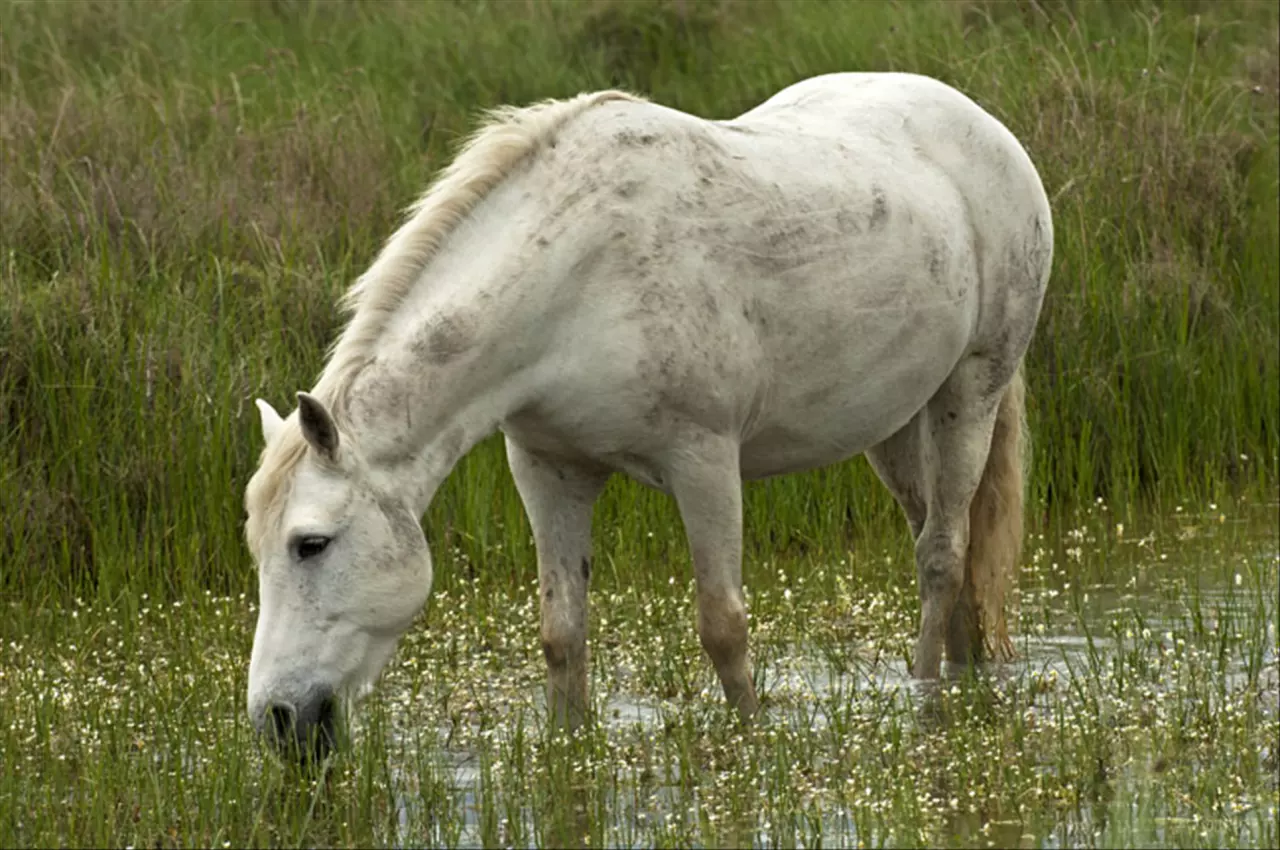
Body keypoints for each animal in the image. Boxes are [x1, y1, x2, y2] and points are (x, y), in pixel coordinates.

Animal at [241, 72, 1049, 757]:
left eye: (310, 544)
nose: (277, 719)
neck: (575, 280)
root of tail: (987, 129)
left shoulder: (704, 462)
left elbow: (723, 627)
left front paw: (752, 749)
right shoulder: (549, 469)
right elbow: (561, 633)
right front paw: (571, 753)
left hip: (969, 393)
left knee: (941, 552)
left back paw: (928, 694)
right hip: (896, 422)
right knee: (948, 545)